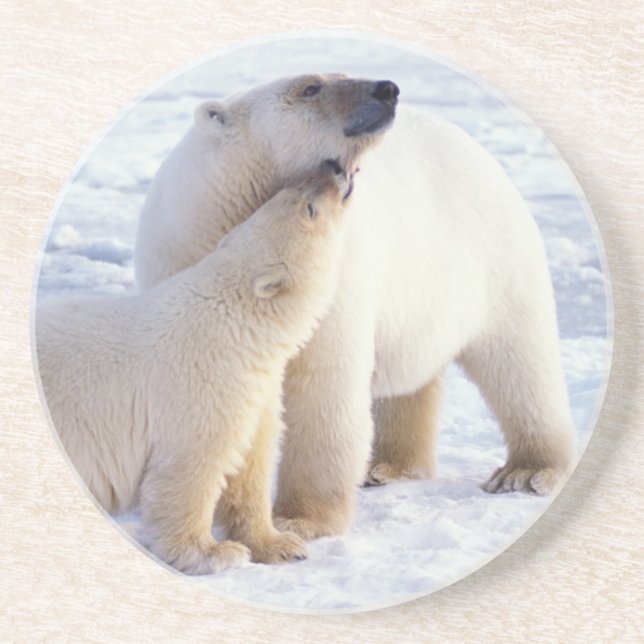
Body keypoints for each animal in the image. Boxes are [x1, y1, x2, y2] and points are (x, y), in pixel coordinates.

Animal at [36, 162, 353, 573]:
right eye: (308, 207)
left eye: (290, 193)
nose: (335, 168)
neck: (237, 322)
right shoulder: (201, 384)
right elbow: (190, 469)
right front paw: (214, 553)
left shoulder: (254, 388)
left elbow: (249, 463)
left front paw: (280, 544)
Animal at [133, 73, 576, 540]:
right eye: (310, 87)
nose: (387, 88)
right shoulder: (184, 261)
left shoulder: (333, 270)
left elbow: (323, 385)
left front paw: (300, 519)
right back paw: (388, 464)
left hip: (496, 262)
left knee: (519, 362)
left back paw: (526, 471)